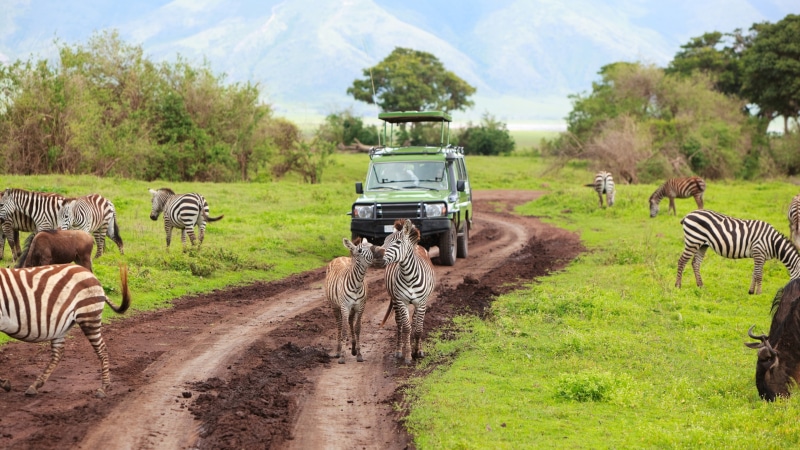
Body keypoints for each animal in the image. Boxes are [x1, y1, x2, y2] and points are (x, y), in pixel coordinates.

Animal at [0, 264, 130, 397]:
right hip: (61, 326)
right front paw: (5, 383)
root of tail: (89, 273)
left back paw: (103, 387)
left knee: (102, 349)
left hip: (88, 316)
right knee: (58, 353)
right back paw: (35, 385)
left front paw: (4, 383)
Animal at [380, 219, 436, 365]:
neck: (409, 276)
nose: (377, 254)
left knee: (416, 322)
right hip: (394, 300)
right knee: (399, 324)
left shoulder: (422, 303)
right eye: (384, 240)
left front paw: (418, 351)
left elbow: (418, 329)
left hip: (419, 303)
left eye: (398, 242)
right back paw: (399, 351)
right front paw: (408, 355)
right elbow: (406, 328)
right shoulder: (401, 301)